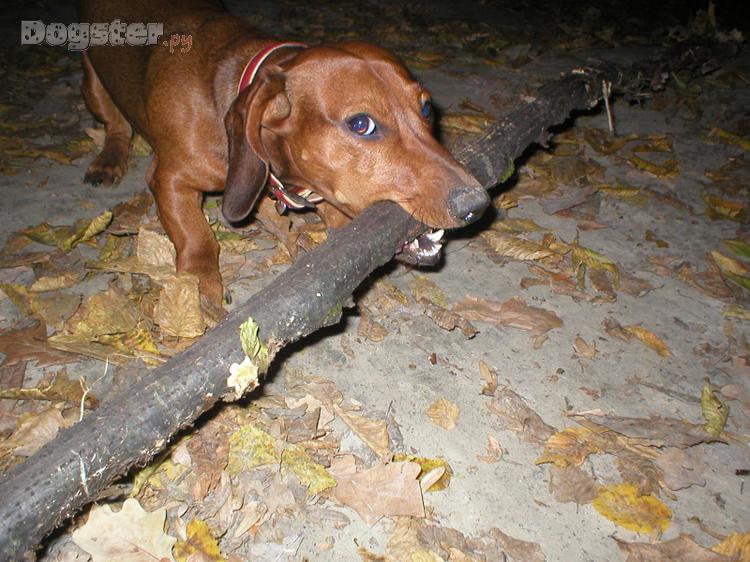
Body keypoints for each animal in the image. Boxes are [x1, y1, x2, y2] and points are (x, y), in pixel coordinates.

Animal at [79, 0, 490, 316]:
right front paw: (199, 284)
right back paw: (108, 158)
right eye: (361, 124)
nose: (478, 205)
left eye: (426, 108)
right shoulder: (169, 179)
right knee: (115, 124)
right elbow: (198, 237)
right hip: (93, 79)